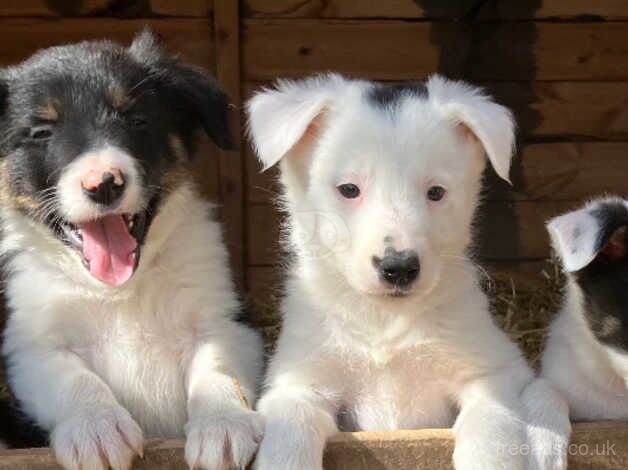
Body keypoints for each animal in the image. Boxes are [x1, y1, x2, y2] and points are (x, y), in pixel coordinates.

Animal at [0, 31, 264, 468]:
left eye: (136, 120)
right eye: (41, 133)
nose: (104, 184)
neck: (119, 293)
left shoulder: (226, 321)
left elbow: (217, 365)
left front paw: (224, 423)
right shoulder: (30, 348)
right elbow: (72, 377)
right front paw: (95, 426)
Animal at [248, 73, 572, 470]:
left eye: (436, 192)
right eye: (349, 189)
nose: (399, 268)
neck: (385, 321)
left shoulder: (495, 373)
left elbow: (490, 433)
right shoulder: (297, 381)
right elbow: (288, 433)